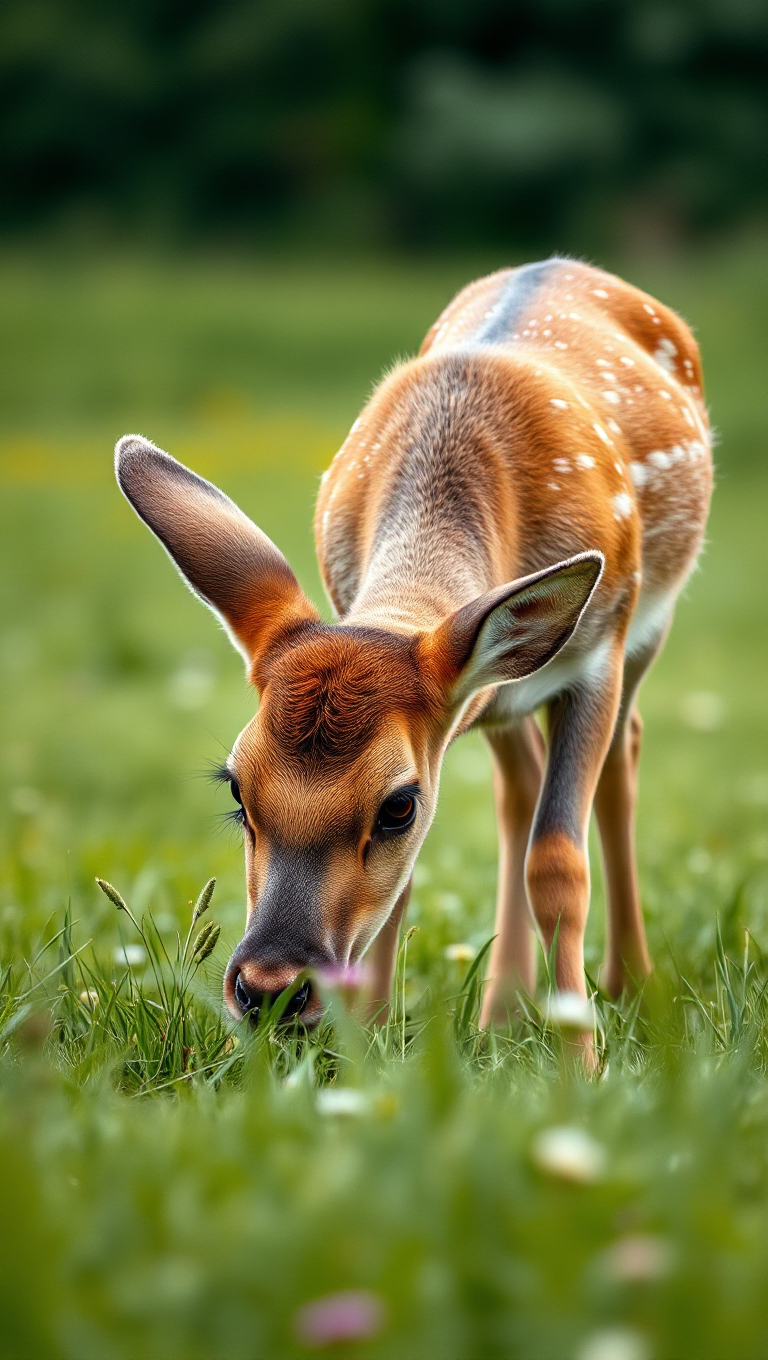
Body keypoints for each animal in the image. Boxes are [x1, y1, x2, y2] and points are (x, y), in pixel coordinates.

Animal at [115, 259, 712, 1055]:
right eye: (237, 788)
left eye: (398, 805)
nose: (271, 989)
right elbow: (401, 895)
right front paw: (366, 1049)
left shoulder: (596, 655)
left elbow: (558, 862)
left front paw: (581, 1060)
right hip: (500, 695)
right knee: (518, 787)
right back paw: (500, 1013)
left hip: (645, 625)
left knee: (623, 758)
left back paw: (628, 987)